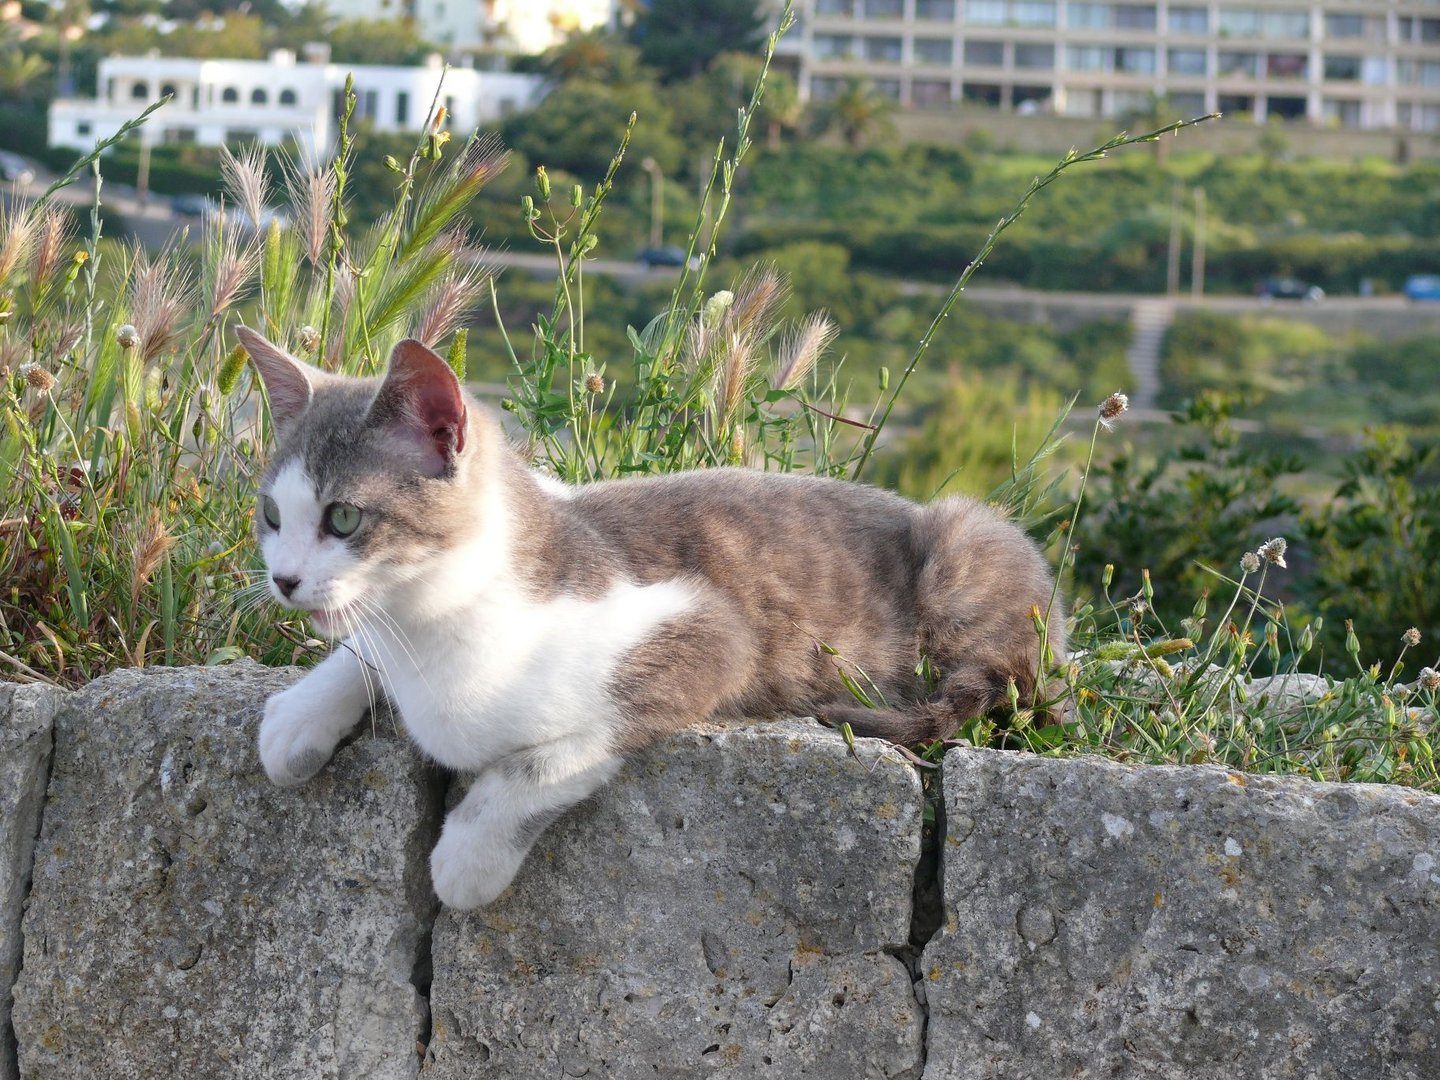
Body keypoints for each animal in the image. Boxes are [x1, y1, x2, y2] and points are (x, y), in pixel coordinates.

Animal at [239, 329, 1071, 915]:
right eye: (272, 515)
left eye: (345, 517)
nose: (283, 580)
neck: (436, 627)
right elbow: (360, 648)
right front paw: (299, 717)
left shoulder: (708, 629)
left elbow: (555, 756)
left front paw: (467, 855)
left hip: (968, 547)